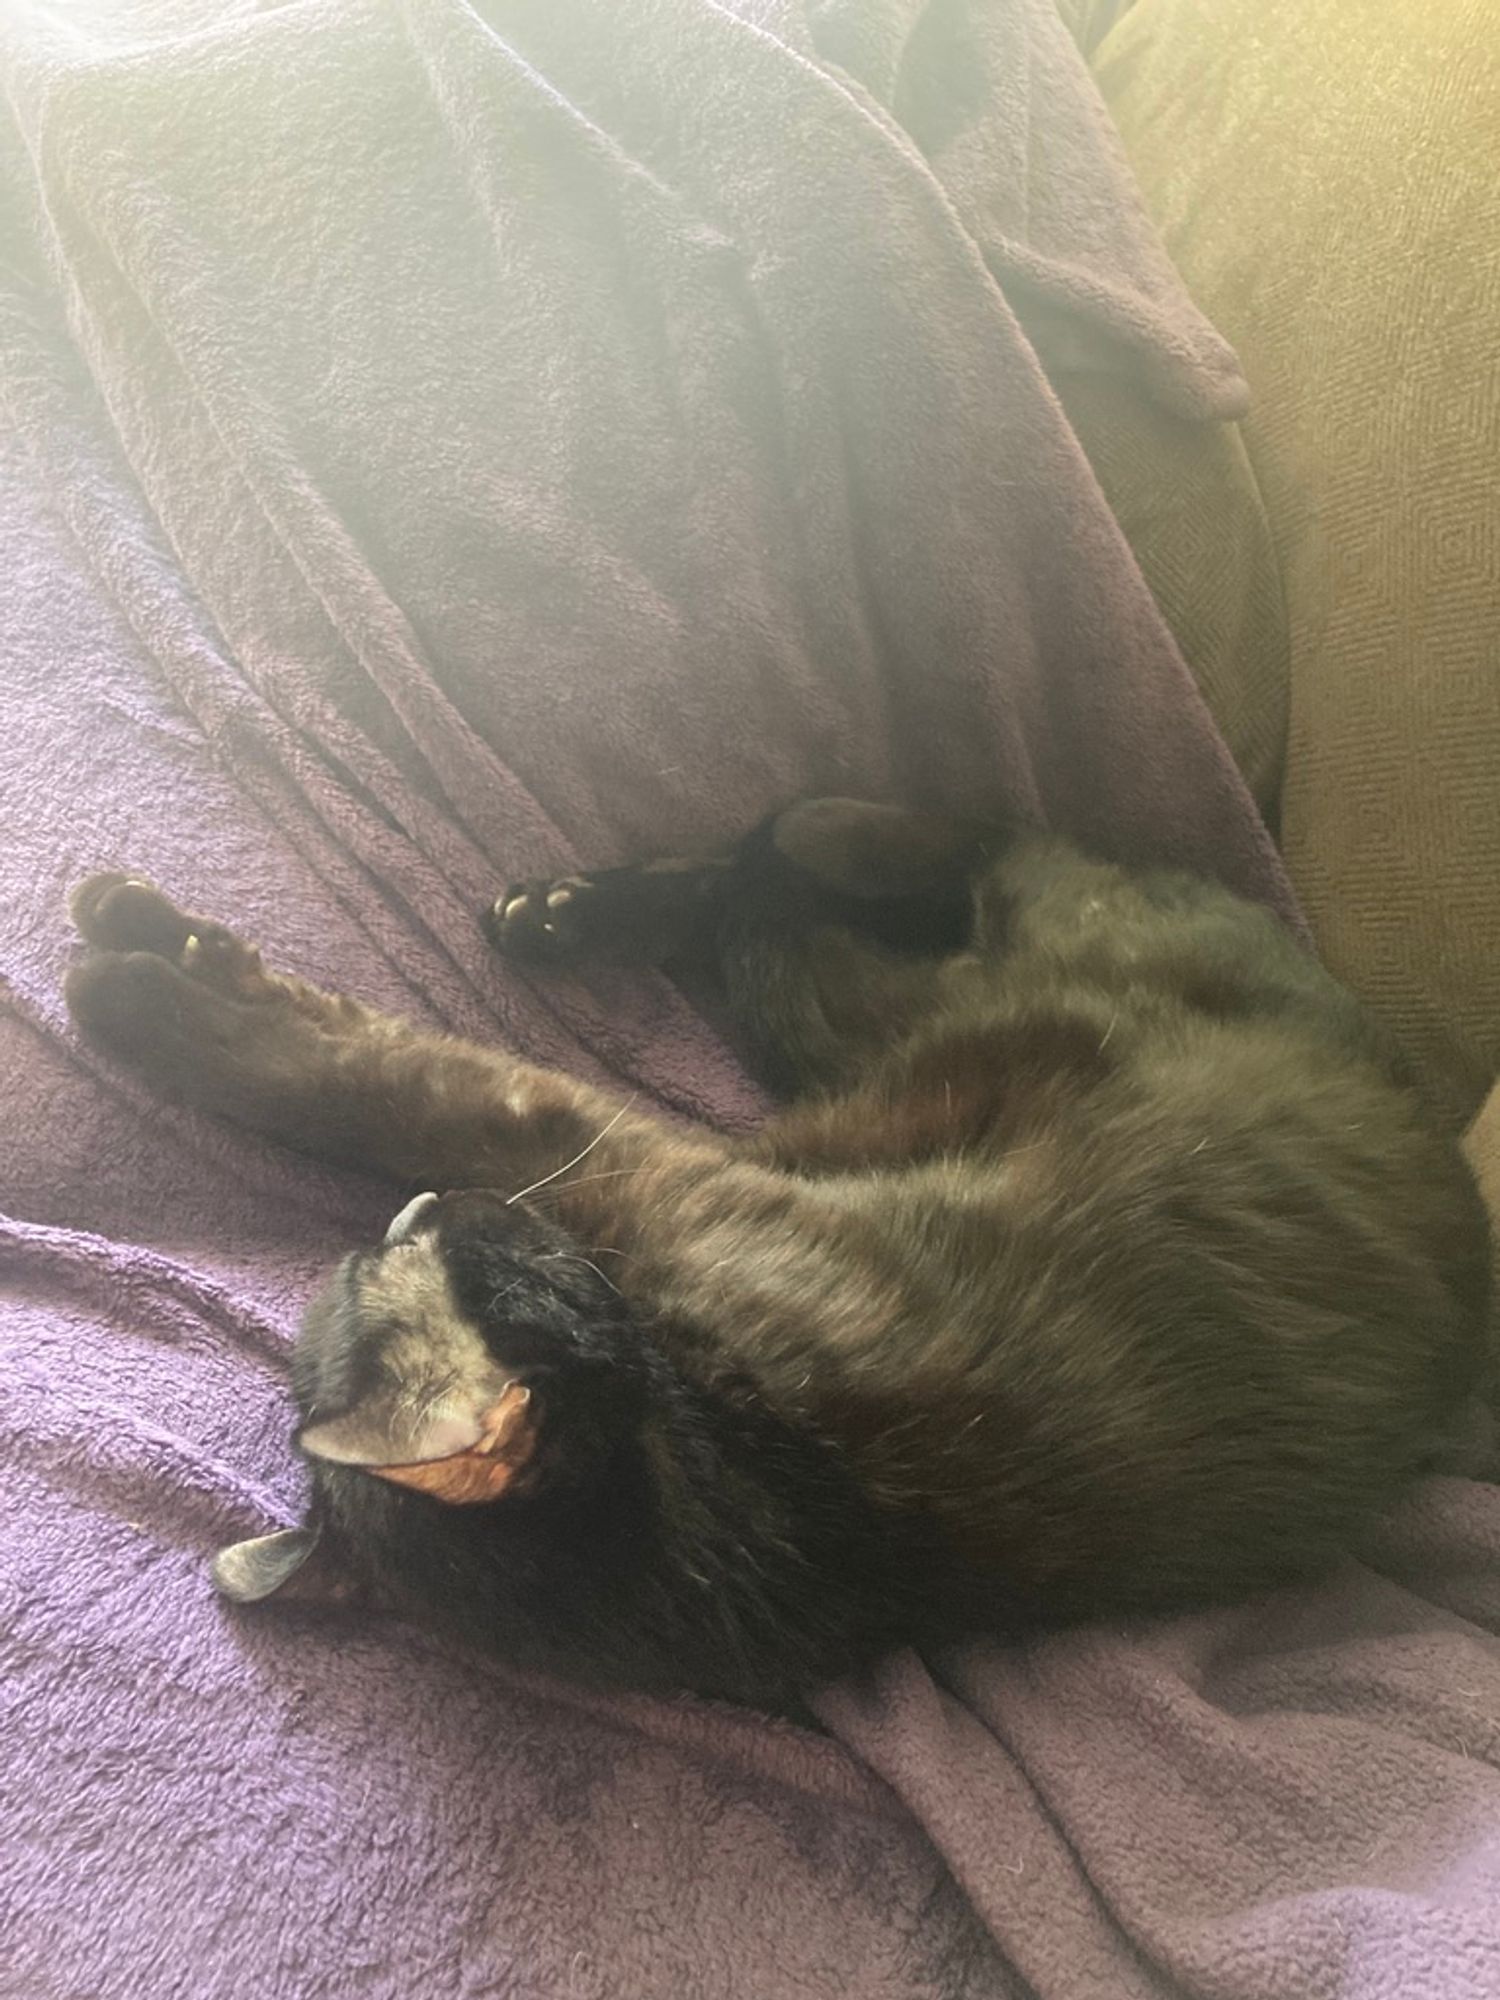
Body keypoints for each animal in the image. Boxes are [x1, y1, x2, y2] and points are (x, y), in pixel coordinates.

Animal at [61, 796, 1496, 1704]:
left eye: (389, 1258)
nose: (420, 1211)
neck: (739, 1474)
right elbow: (372, 1073)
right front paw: (161, 962)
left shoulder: (594, 1150)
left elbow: (367, 1080)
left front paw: (142, 985)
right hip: (846, 1008)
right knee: (813, 876)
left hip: (864, 997)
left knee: (849, 843)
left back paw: (547, 910)